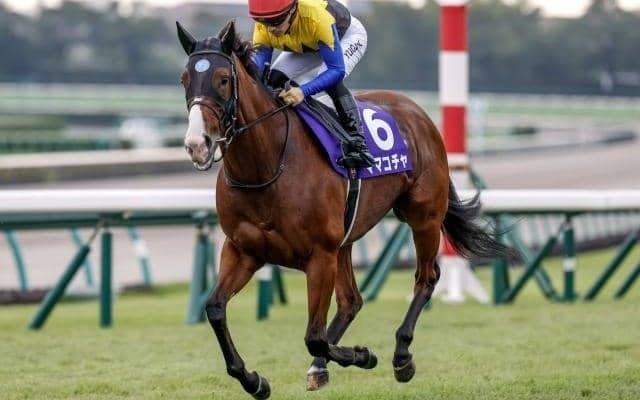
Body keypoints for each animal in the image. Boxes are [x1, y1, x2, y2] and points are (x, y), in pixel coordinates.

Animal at [178, 20, 507, 399]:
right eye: (184, 79)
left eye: (222, 79)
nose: (197, 144)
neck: (266, 167)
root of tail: (417, 112)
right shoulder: (243, 250)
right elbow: (215, 309)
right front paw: (253, 380)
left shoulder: (319, 255)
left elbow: (314, 337)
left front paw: (364, 355)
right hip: (346, 240)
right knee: (352, 300)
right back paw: (321, 368)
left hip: (423, 216)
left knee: (426, 277)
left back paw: (401, 355)